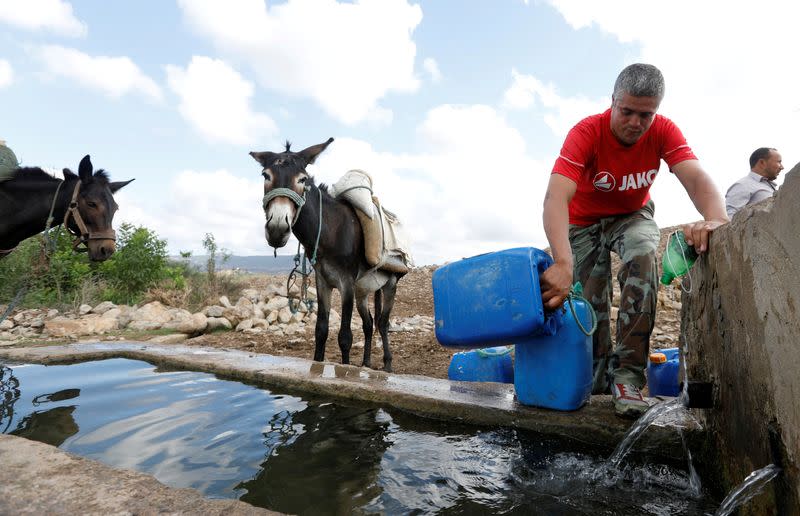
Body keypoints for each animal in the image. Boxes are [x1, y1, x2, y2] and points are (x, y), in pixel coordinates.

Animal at [252, 137, 404, 370]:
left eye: (303, 179)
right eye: (265, 175)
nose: (277, 229)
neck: (329, 231)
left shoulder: (346, 283)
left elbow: (345, 337)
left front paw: (346, 369)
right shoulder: (323, 280)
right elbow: (321, 331)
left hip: (390, 284)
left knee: (383, 323)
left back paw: (387, 364)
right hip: (363, 290)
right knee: (369, 323)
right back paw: (366, 363)